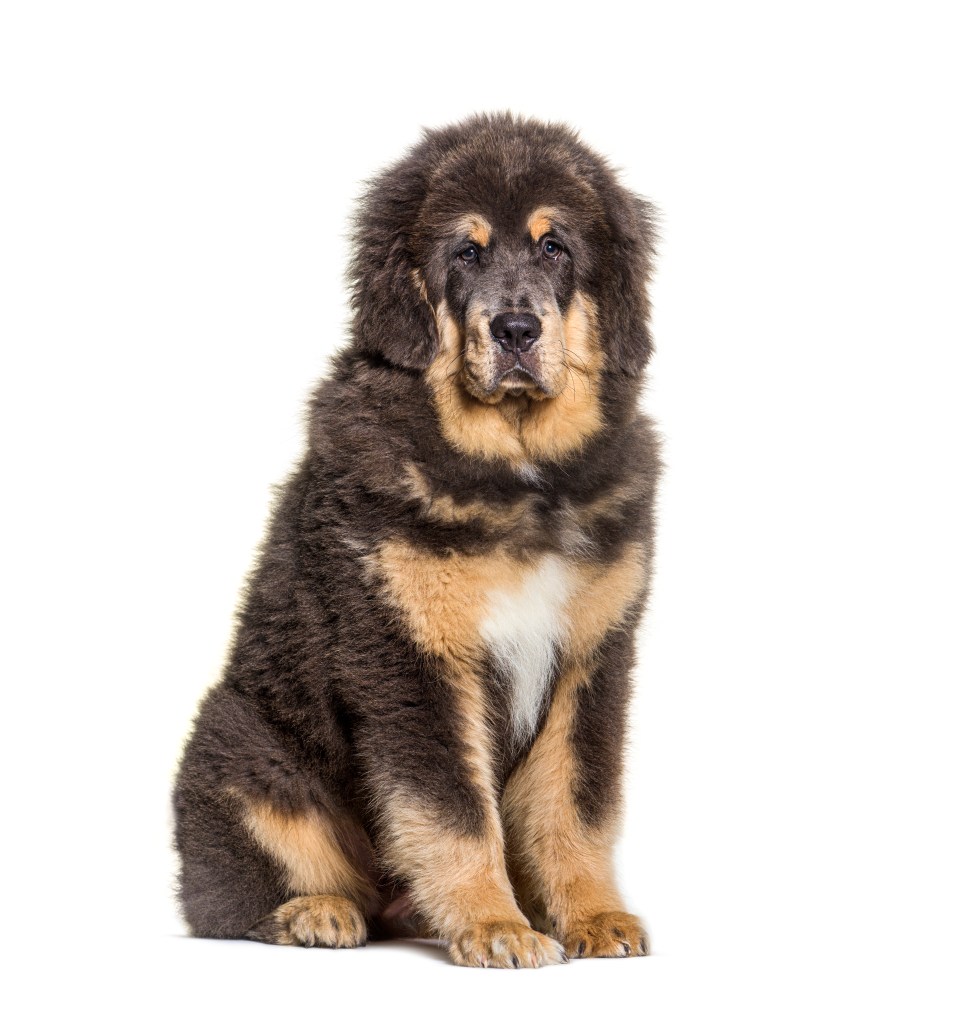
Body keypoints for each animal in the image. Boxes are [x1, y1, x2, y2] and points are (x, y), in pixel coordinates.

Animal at [174, 112, 659, 966]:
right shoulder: (415, 655)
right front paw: (496, 926)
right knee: (227, 897)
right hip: (240, 744)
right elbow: (454, 810)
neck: (516, 470)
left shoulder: (594, 659)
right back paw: (314, 913)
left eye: (555, 247)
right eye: (465, 253)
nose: (515, 329)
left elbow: (576, 803)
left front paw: (594, 915)